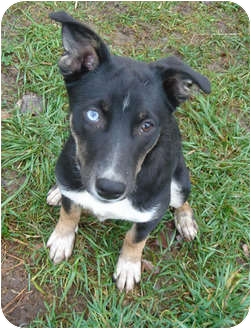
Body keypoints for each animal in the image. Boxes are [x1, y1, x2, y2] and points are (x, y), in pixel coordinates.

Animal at [45, 11, 210, 290]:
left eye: (147, 125)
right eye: (93, 115)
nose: (110, 189)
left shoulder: (151, 214)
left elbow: (135, 239)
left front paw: (128, 267)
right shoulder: (72, 183)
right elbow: (69, 212)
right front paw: (62, 238)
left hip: (178, 179)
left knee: (182, 199)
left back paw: (186, 221)